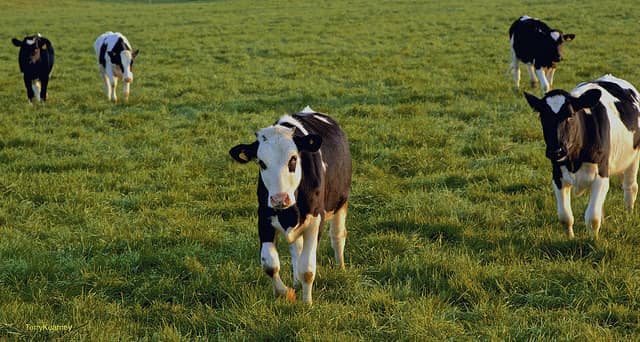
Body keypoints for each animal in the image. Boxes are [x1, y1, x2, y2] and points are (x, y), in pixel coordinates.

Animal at [229, 105, 352, 304]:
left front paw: (307, 303)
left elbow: (307, 269)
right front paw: (286, 293)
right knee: (296, 249)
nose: (280, 199)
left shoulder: (316, 220)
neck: (289, 211)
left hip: (341, 202)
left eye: (293, 159)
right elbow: (270, 264)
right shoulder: (264, 217)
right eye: (261, 163)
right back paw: (295, 282)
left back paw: (340, 267)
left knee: (338, 235)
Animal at [524, 74, 640, 240]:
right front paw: (570, 238)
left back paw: (629, 216)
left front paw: (593, 240)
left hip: (634, 157)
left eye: (571, 115)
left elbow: (592, 218)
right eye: (542, 117)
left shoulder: (601, 175)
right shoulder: (557, 176)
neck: (574, 160)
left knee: (630, 187)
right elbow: (565, 217)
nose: (556, 151)